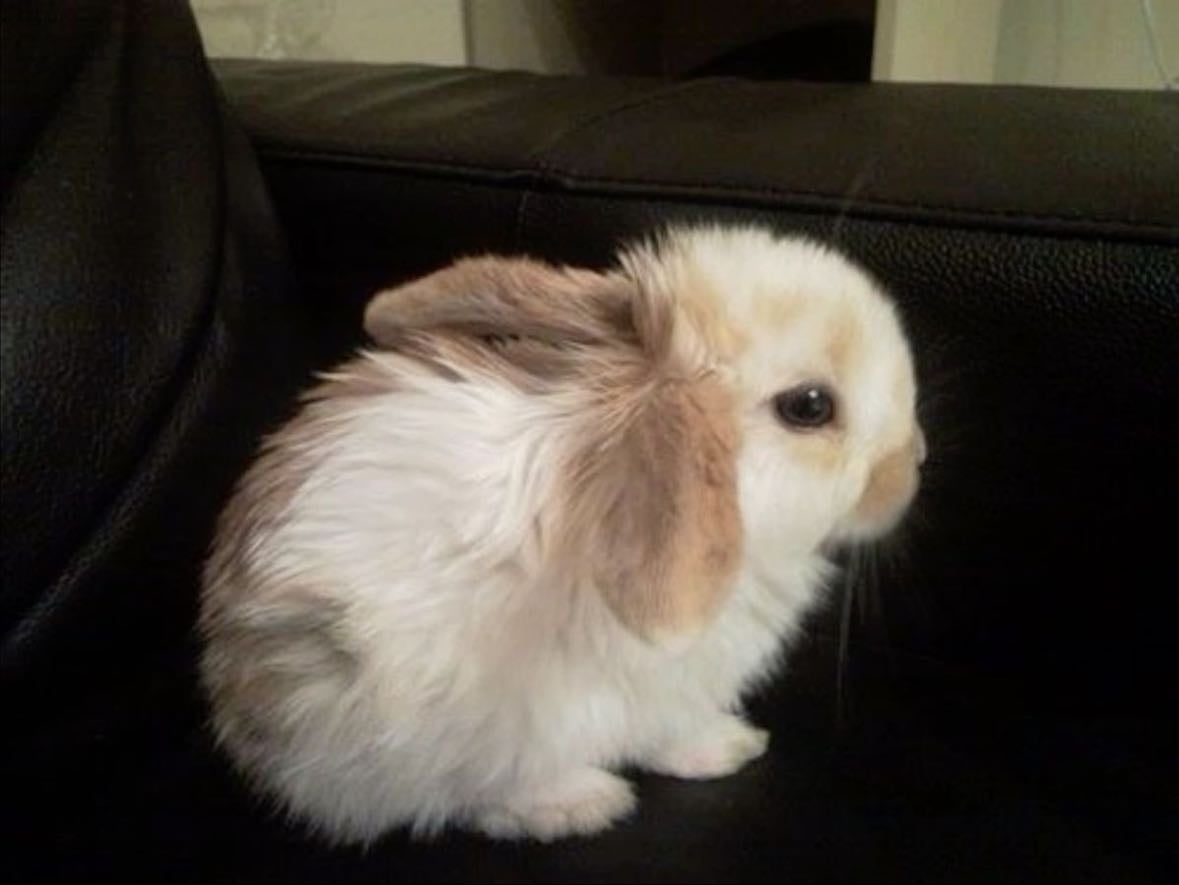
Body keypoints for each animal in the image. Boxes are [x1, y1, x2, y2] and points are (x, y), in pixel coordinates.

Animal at [198, 224, 925, 847]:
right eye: (809, 406)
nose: (914, 459)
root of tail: (255, 735)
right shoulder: (662, 682)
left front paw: (732, 746)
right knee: (464, 795)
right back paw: (583, 803)